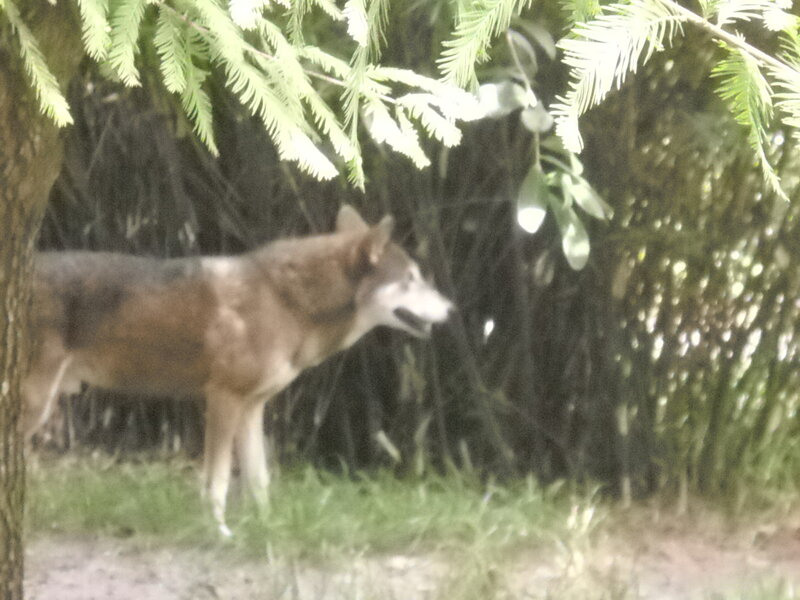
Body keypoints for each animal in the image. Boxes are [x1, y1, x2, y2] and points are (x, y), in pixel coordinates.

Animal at [22, 205, 453, 536]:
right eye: (410, 279)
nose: (452, 309)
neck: (286, 303)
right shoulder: (223, 400)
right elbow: (216, 483)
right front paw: (219, 533)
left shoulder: (252, 408)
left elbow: (258, 479)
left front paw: (268, 527)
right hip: (35, 404)